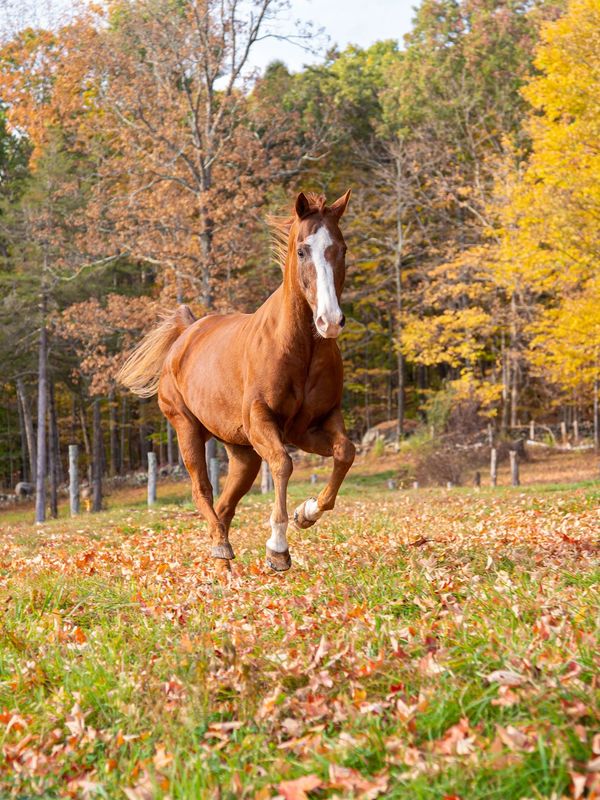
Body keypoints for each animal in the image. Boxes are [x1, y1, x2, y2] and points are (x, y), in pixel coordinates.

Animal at [118, 190, 355, 572]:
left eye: (342, 248)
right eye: (302, 250)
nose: (329, 321)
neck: (298, 347)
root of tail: (187, 332)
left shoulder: (312, 425)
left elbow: (344, 452)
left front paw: (306, 513)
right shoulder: (262, 420)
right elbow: (283, 464)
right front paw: (277, 549)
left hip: (243, 453)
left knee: (226, 505)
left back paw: (225, 566)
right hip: (187, 429)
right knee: (204, 491)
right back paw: (221, 549)